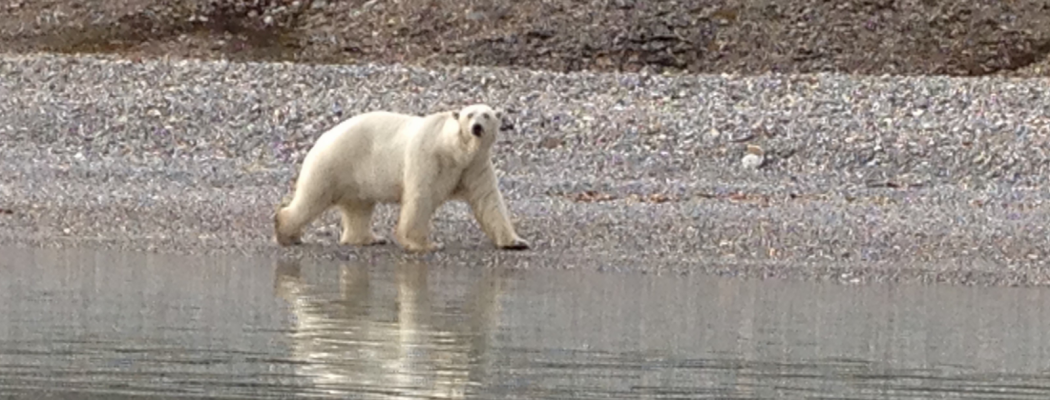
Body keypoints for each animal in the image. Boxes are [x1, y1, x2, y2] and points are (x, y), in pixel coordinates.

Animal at [275, 102, 529, 251]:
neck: (455, 151)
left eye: (486, 115)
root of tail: (323, 136)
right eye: (468, 115)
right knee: (313, 197)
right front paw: (425, 244)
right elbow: (420, 196)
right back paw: (286, 231)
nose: (476, 127)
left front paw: (515, 242)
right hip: (334, 163)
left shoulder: (475, 166)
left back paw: (368, 238)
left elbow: (489, 201)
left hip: (355, 176)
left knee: (359, 207)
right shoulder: (427, 156)